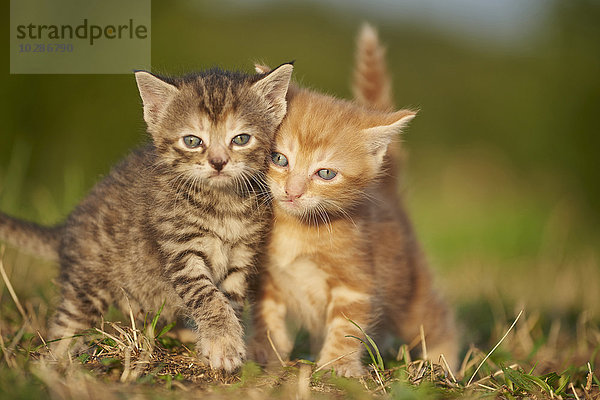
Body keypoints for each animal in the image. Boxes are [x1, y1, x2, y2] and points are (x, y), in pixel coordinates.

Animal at [0, 63, 292, 372]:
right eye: (192, 141)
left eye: (241, 139)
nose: (218, 162)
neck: (223, 204)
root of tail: (68, 225)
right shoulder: (180, 250)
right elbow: (207, 295)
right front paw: (222, 342)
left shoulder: (241, 256)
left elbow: (230, 300)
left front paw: (221, 342)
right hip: (88, 284)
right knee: (66, 324)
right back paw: (55, 359)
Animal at [251, 61, 458, 376]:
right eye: (279, 159)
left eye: (325, 173)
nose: (292, 191)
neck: (297, 229)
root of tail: (388, 195)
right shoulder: (267, 276)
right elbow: (267, 315)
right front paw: (267, 351)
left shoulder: (356, 281)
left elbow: (346, 326)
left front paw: (338, 366)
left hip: (410, 294)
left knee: (439, 322)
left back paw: (444, 364)